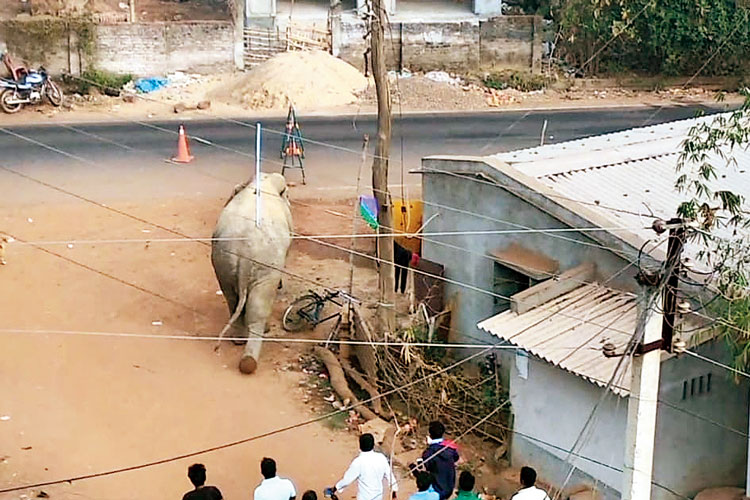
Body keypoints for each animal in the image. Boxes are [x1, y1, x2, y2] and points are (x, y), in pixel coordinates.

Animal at [213, 174, 296, 374]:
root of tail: (244, 250)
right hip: (265, 266)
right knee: (257, 307)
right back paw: (250, 358)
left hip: (223, 263)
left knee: (232, 298)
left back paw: (238, 340)